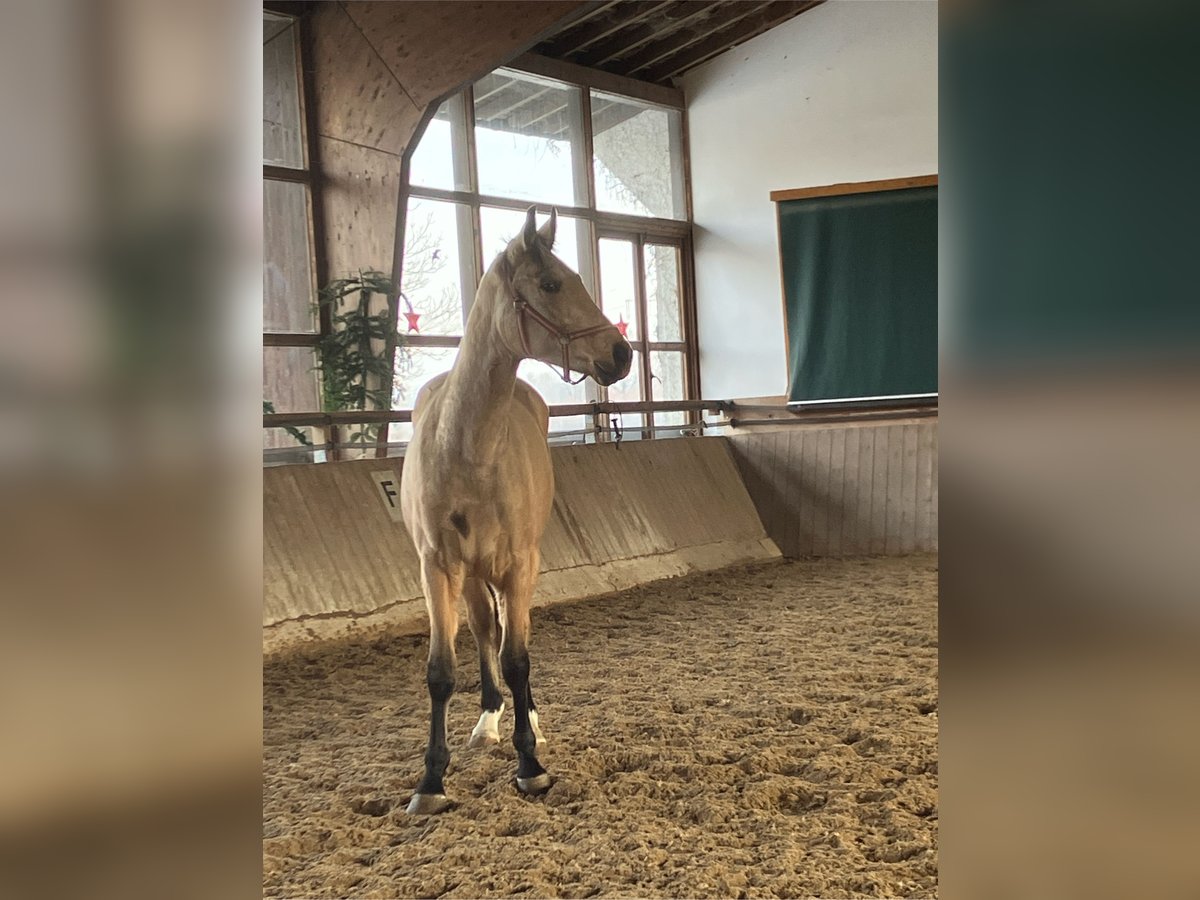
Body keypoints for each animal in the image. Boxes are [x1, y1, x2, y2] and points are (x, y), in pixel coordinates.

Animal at [398, 207, 633, 816]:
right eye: (550, 284)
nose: (621, 354)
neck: (469, 449)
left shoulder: (520, 564)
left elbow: (519, 658)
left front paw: (530, 764)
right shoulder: (437, 568)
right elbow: (441, 671)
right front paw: (430, 780)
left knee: (508, 639)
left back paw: (526, 717)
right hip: (471, 574)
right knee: (486, 630)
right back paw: (488, 719)